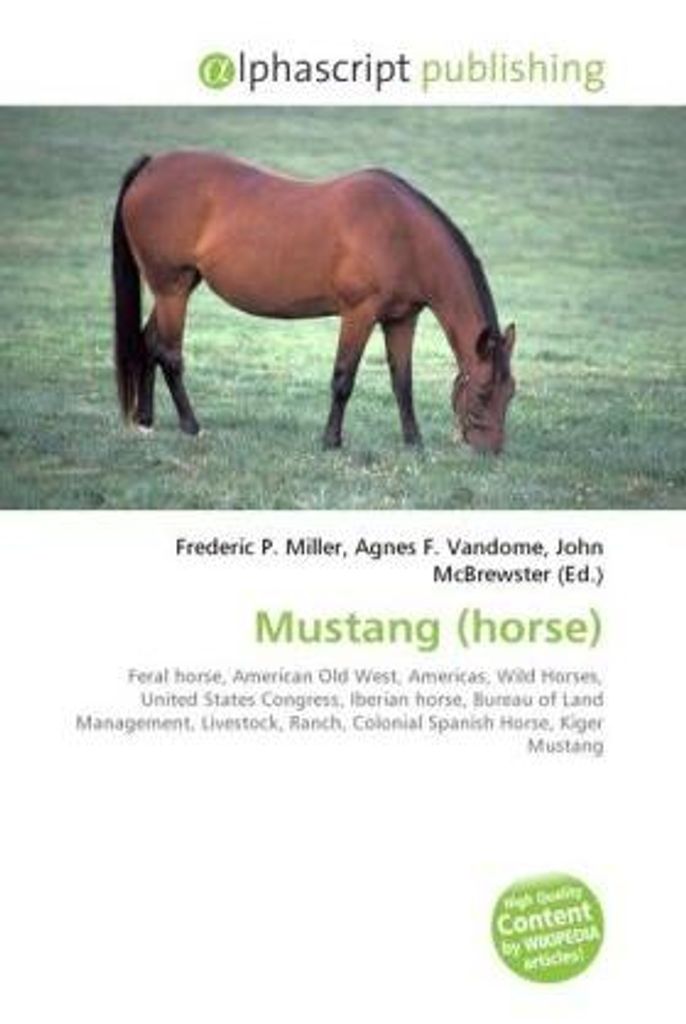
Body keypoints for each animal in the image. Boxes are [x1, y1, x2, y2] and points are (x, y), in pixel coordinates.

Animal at [111, 151, 516, 453]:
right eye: (483, 393)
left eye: (510, 392)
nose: (490, 452)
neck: (402, 233)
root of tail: (151, 166)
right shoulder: (358, 314)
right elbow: (343, 378)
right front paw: (331, 441)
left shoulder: (401, 320)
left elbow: (403, 382)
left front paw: (413, 443)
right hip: (172, 289)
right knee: (170, 355)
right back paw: (191, 425)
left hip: (175, 289)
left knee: (149, 342)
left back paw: (146, 420)